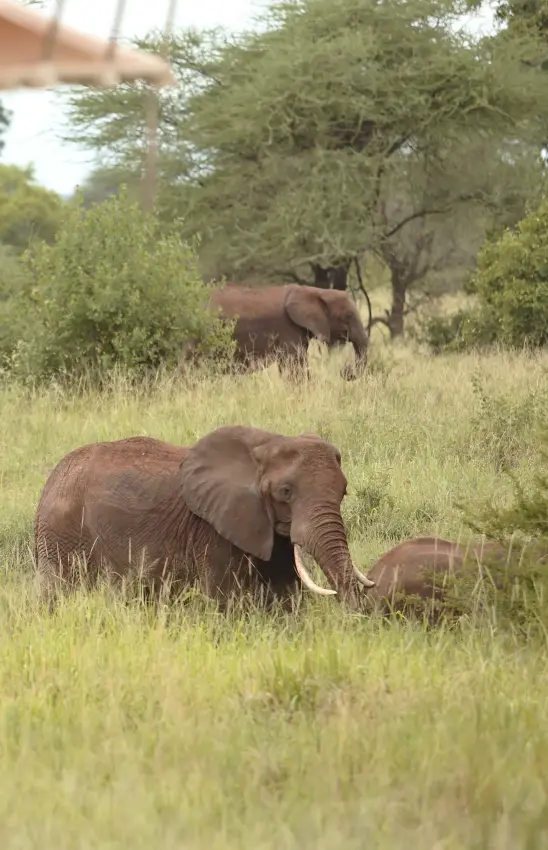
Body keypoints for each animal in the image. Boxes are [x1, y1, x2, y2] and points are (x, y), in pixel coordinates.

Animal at [34, 425, 374, 609]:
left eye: (343, 491)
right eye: (286, 492)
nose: (355, 618)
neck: (268, 444)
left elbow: (284, 594)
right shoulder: (211, 528)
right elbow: (225, 596)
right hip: (62, 533)